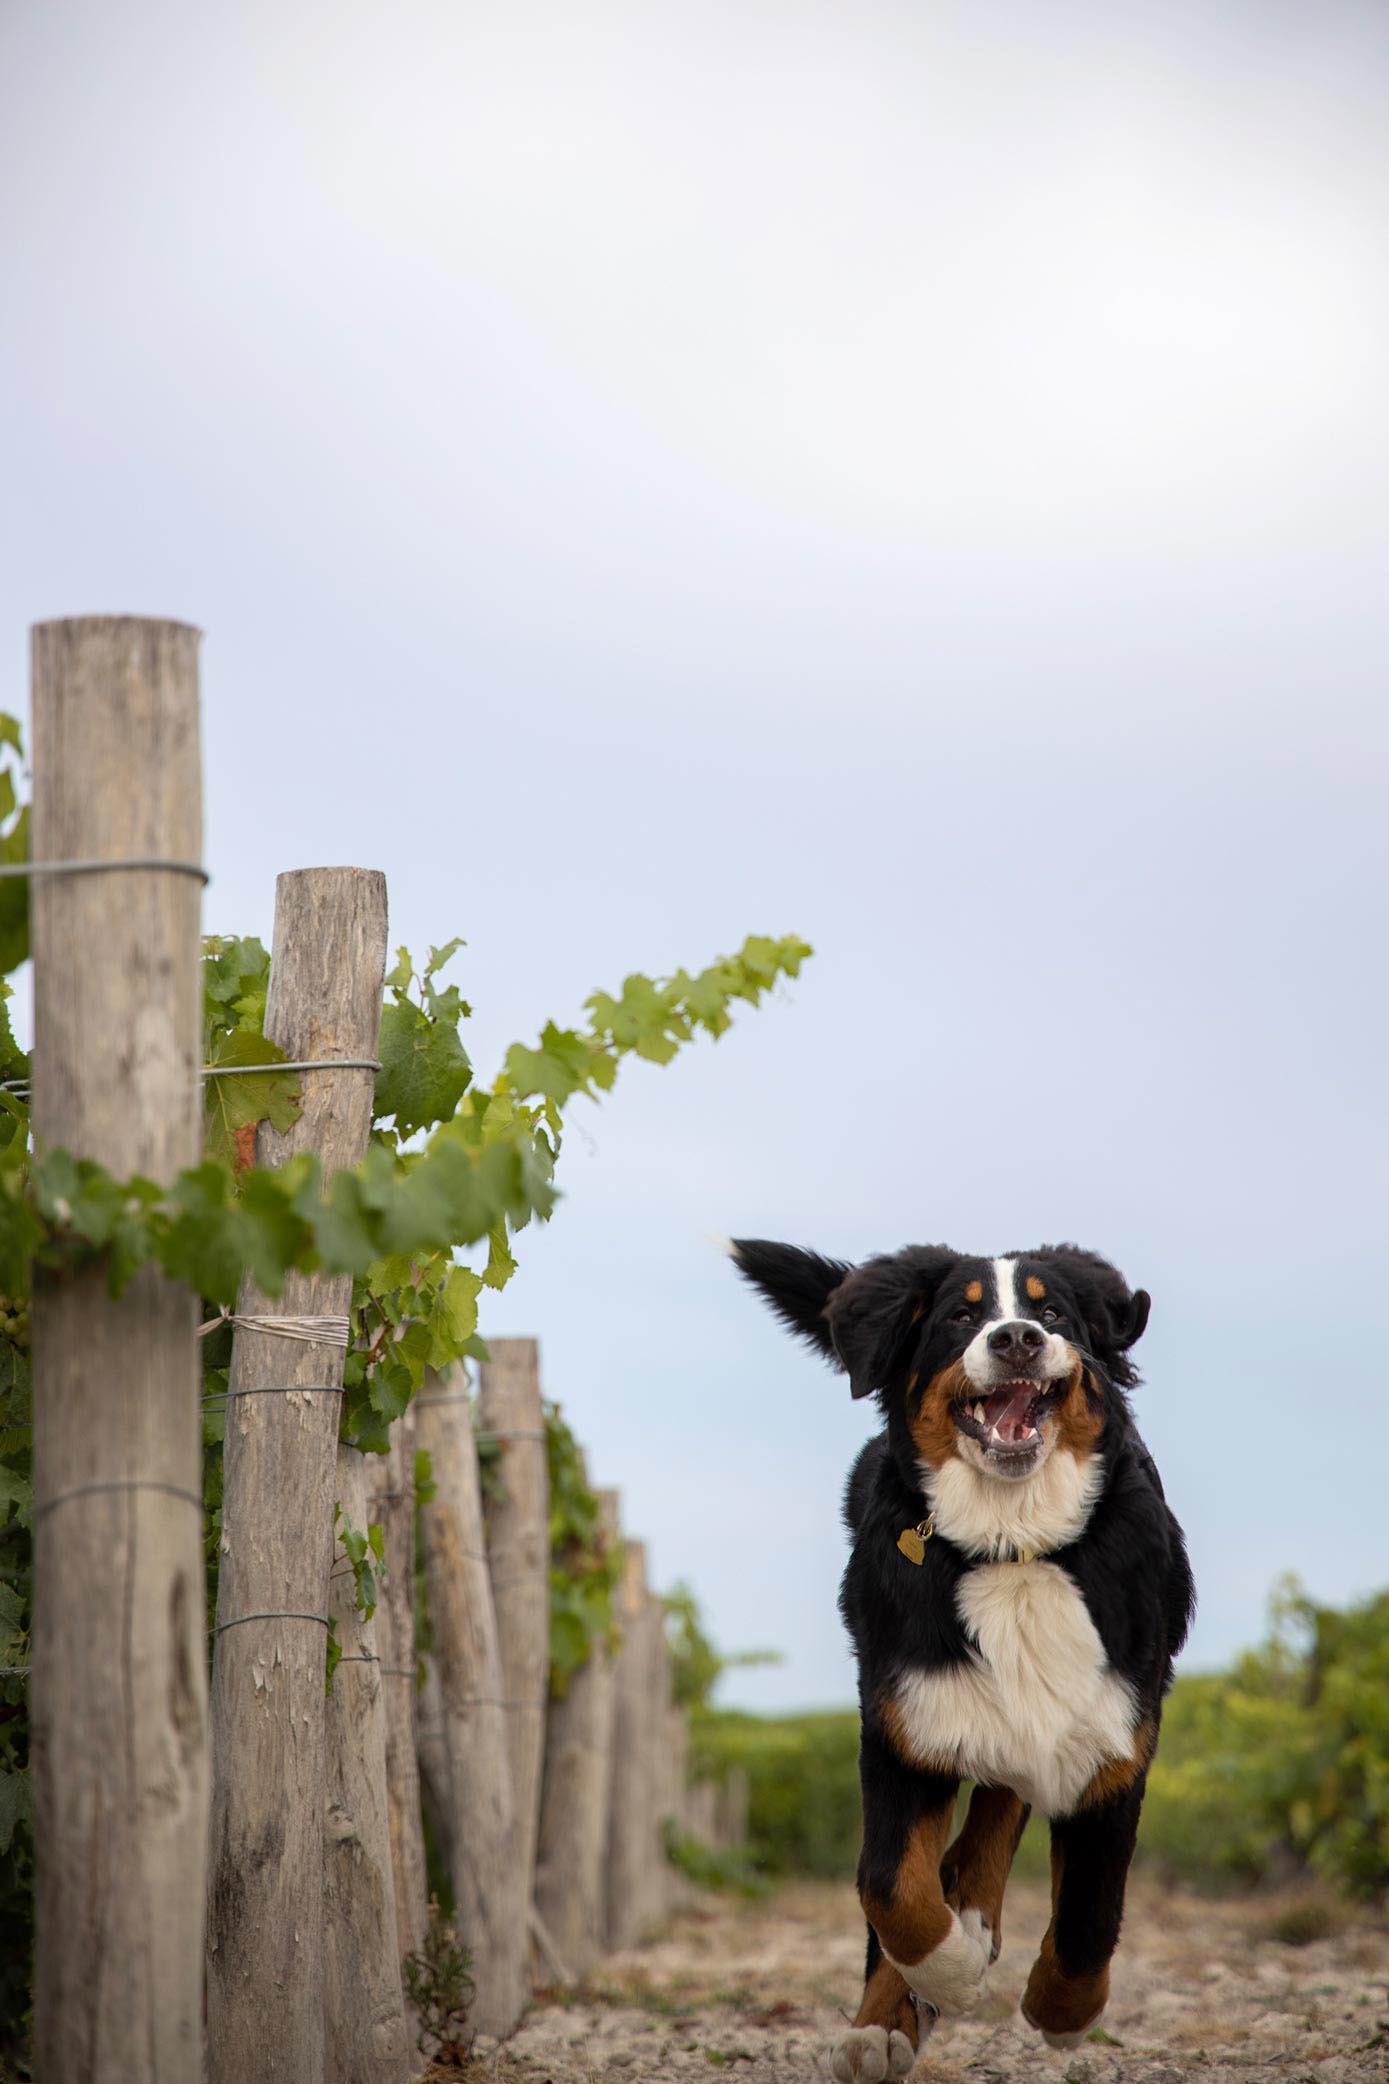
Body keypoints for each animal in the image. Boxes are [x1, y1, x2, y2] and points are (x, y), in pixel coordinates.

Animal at [728, 1233, 1199, 2084]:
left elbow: (1090, 1909)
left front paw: (1060, 2011)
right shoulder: (901, 1721)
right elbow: (889, 1886)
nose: (1016, 1339)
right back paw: (888, 2017)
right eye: (959, 1316)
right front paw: (943, 1973)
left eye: (1052, 1312)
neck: (1011, 1547)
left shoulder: (1112, 1741)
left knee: (1003, 1806)